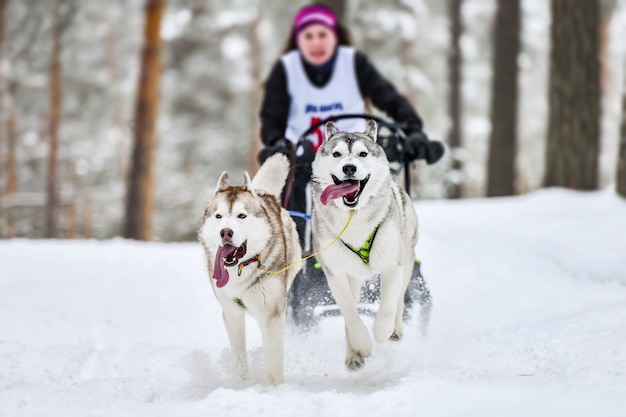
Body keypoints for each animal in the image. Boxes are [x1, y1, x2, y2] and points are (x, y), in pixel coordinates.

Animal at [197, 154, 300, 386]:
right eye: (218, 216)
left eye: (241, 216)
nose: (225, 232)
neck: (241, 270)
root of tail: (263, 193)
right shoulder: (231, 313)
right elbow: (240, 358)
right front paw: (243, 384)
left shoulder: (271, 314)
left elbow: (273, 363)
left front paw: (274, 388)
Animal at [308, 120, 416, 370]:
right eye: (337, 154)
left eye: (362, 154)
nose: (349, 168)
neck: (354, 217)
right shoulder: (336, 273)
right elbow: (350, 315)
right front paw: (362, 345)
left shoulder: (392, 264)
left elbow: (388, 304)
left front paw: (382, 330)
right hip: (353, 276)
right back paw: (353, 355)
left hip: (407, 260)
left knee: (399, 300)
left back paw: (395, 330)